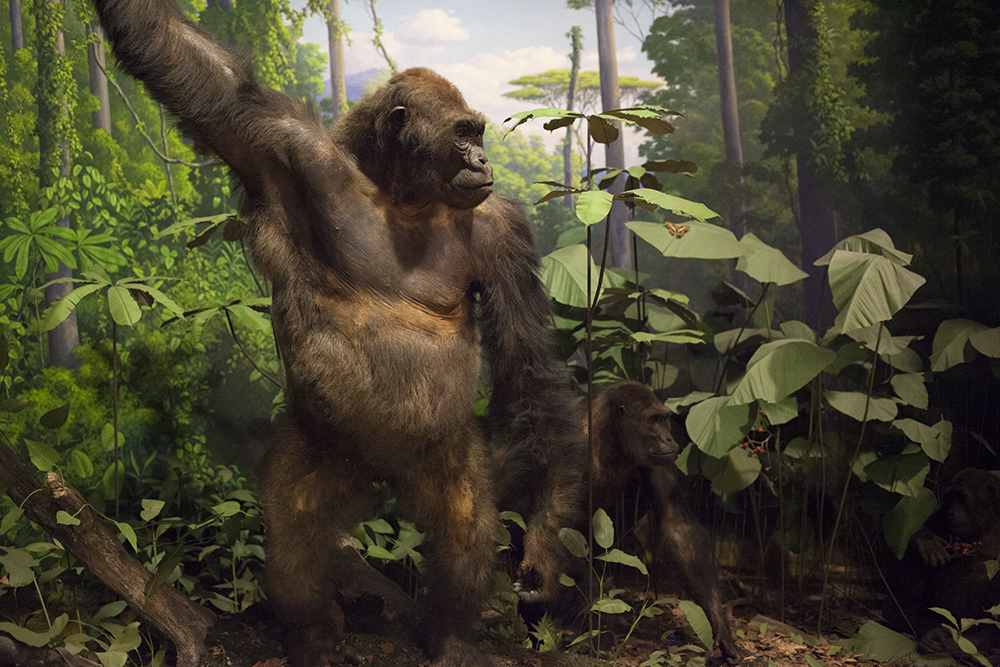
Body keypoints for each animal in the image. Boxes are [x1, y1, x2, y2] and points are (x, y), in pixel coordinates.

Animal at [93, 2, 584, 666]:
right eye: (464, 134)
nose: (483, 161)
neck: (402, 194)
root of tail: (379, 474)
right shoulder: (286, 146)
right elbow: (200, 74)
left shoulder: (501, 229)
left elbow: (527, 363)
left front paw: (544, 542)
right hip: (323, 447)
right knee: (297, 528)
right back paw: (314, 633)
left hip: (439, 450)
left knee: (462, 520)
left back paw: (452, 635)